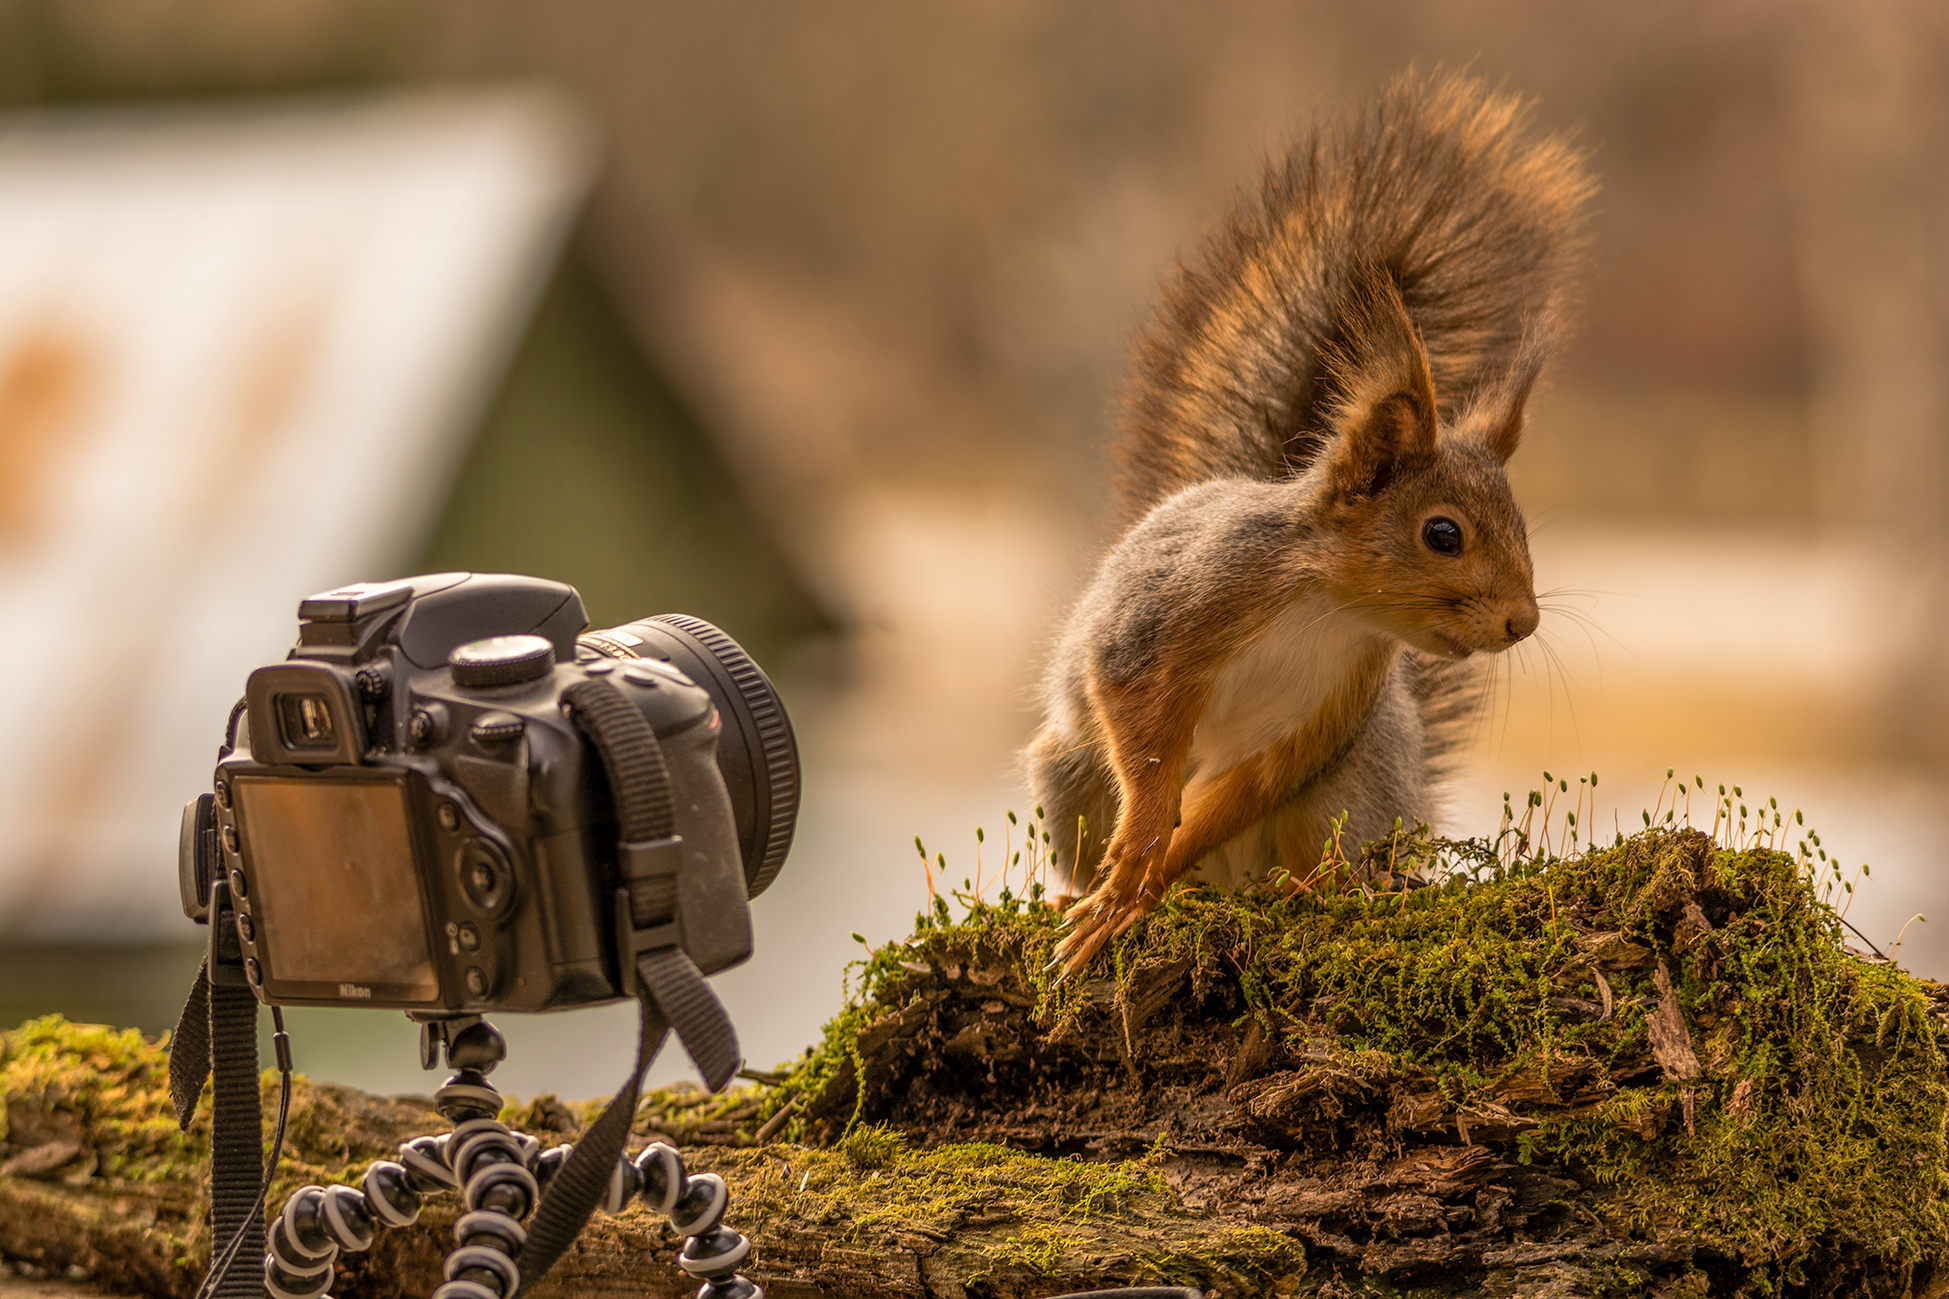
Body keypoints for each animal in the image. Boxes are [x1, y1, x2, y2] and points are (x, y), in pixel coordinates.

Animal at [1029, 65, 1590, 967]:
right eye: (1442, 533)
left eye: (1523, 525)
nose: (1522, 622)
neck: (1328, 606)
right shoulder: (1175, 615)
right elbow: (1140, 732)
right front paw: (1128, 879)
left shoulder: (1320, 718)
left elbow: (1245, 785)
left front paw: (1141, 886)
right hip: (1070, 777)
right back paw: (1092, 893)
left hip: (1349, 795)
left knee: (1315, 857)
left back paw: (1299, 887)